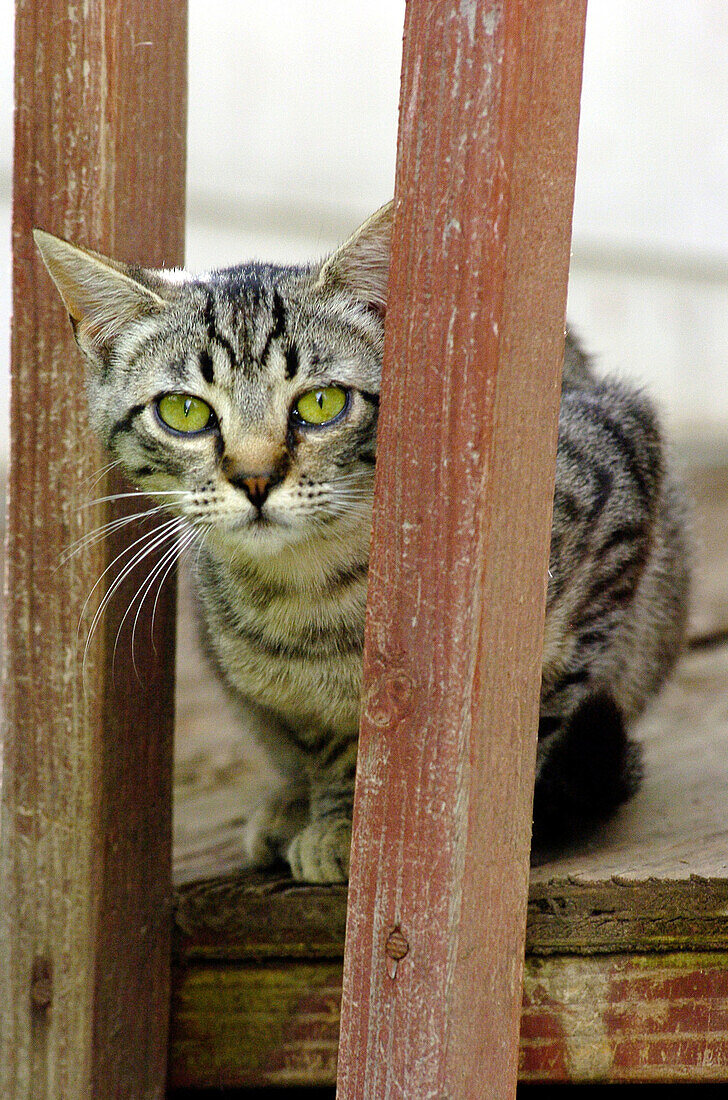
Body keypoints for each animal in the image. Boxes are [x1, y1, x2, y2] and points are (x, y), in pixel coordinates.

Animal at [35, 204, 690, 884]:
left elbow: (539, 710)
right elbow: (322, 738)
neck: (313, 590)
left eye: (322, 402)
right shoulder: (278, 690)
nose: (255, 479)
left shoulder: (614, 494)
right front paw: (338, 815)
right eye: (184, 412)